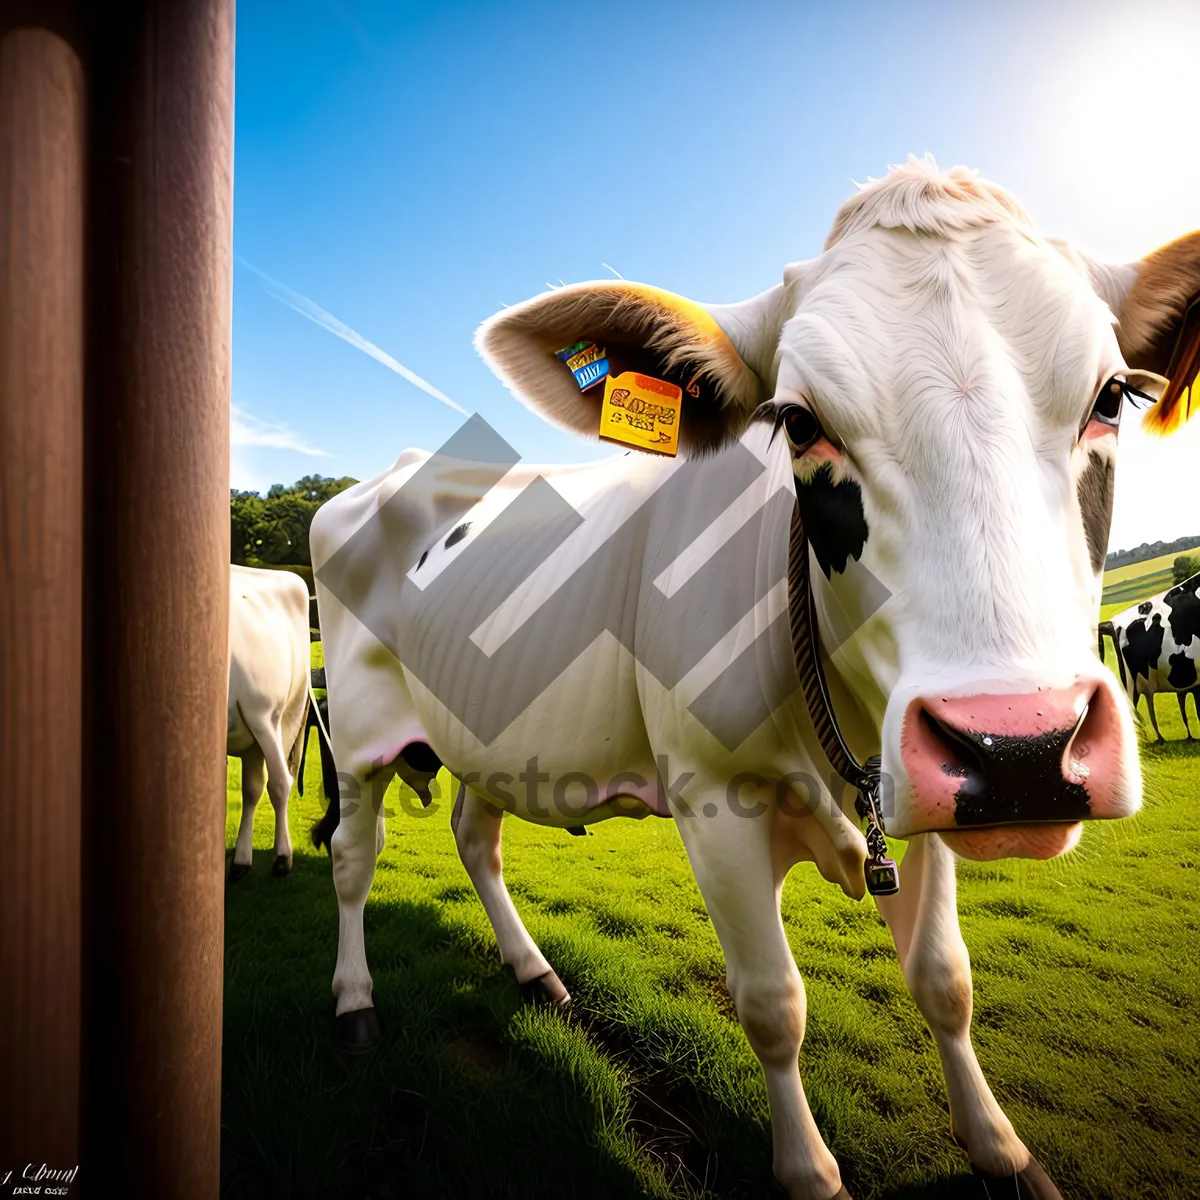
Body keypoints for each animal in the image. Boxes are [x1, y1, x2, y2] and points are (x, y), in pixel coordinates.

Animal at [224, 561, 309, 883]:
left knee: (279, 783)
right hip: (251, 739)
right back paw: (241, 860)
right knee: (252, 788)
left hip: (273, 717)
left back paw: (283, 856)